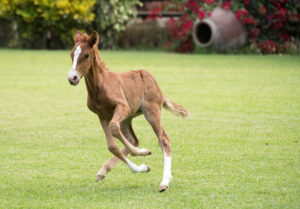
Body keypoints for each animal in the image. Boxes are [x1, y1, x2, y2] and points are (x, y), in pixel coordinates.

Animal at [68, 30, 190, 192]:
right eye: (72, 54)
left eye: (86, 55)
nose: (72, 78)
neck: (101, 85)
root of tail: (155, 83)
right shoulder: (102, 115)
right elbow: (112, 145)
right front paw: (143, 165)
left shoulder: (122, 107)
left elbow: (114, 130)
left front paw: (144, 154)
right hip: (127, 119)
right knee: (133, 140)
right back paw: (104, 170)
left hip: (151, 111)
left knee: (163, 140)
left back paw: (164, 181)